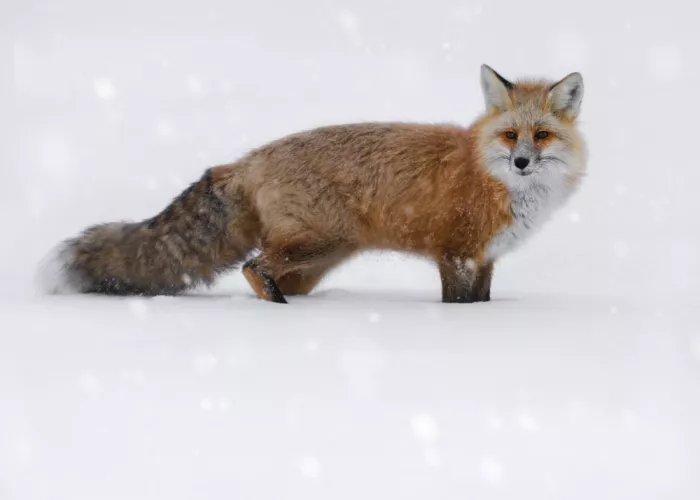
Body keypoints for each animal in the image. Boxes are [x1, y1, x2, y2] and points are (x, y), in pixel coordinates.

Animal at [38, 64, 586, 304]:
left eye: (541, 135)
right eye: (511, 135)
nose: (521, 162)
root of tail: (247, 159)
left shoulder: (485, 258)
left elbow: (482, 301)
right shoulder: (454, 253)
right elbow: (458, 303)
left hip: (317, 261)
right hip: (317, 243)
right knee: (253, 266)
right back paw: (280, 313)